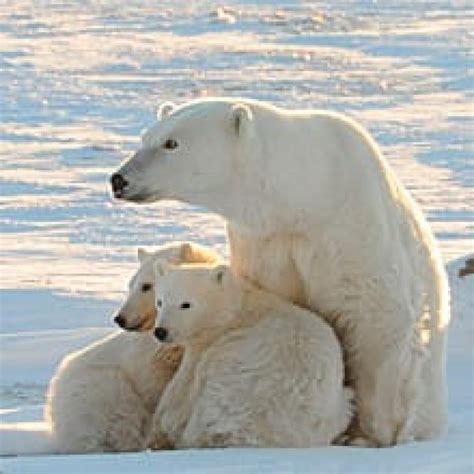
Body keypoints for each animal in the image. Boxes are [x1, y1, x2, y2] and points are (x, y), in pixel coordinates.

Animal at [110, 98, 448, 446]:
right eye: (145, 137)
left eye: (171, 143)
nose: (118, 179)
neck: (307, 196)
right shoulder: (265, 242)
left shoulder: (352, 228)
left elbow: (376, 319)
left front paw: (372, 434)